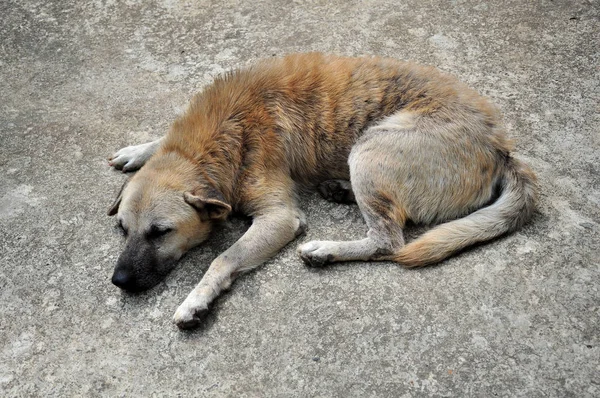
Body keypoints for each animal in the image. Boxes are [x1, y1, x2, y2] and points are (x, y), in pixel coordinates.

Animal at [105, 54, 536, 332]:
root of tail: (501, 148)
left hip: (368, 151)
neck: (221, 136)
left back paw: (325, 249)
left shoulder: (279, 217)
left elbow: (222, 258)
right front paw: (139, 150)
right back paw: (339, 190)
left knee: (388, 242)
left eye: (161, 232)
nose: (119, 281)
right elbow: (160, 144)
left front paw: (196, 300)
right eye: (124, 230)